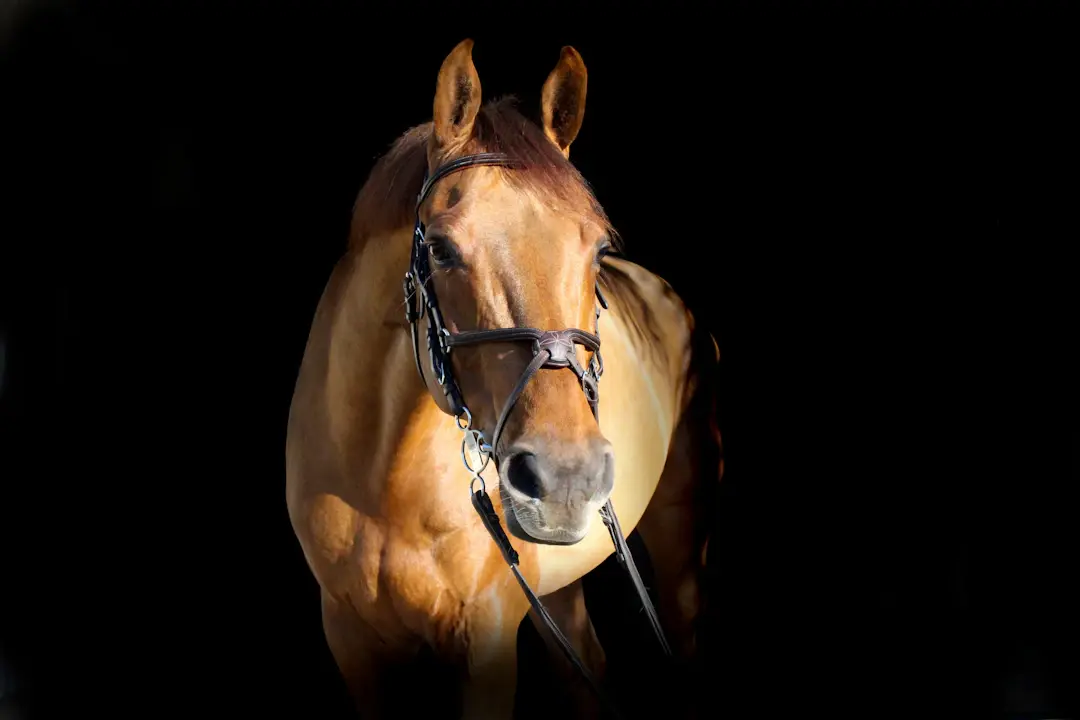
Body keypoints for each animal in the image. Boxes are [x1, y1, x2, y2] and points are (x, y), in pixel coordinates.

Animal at [285, 39, 722, 719]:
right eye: (440, 248)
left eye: (599, 250)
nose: (566, 477)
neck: (383, 483)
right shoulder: (352, 641)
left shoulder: (486, 648)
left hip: (681, 548)